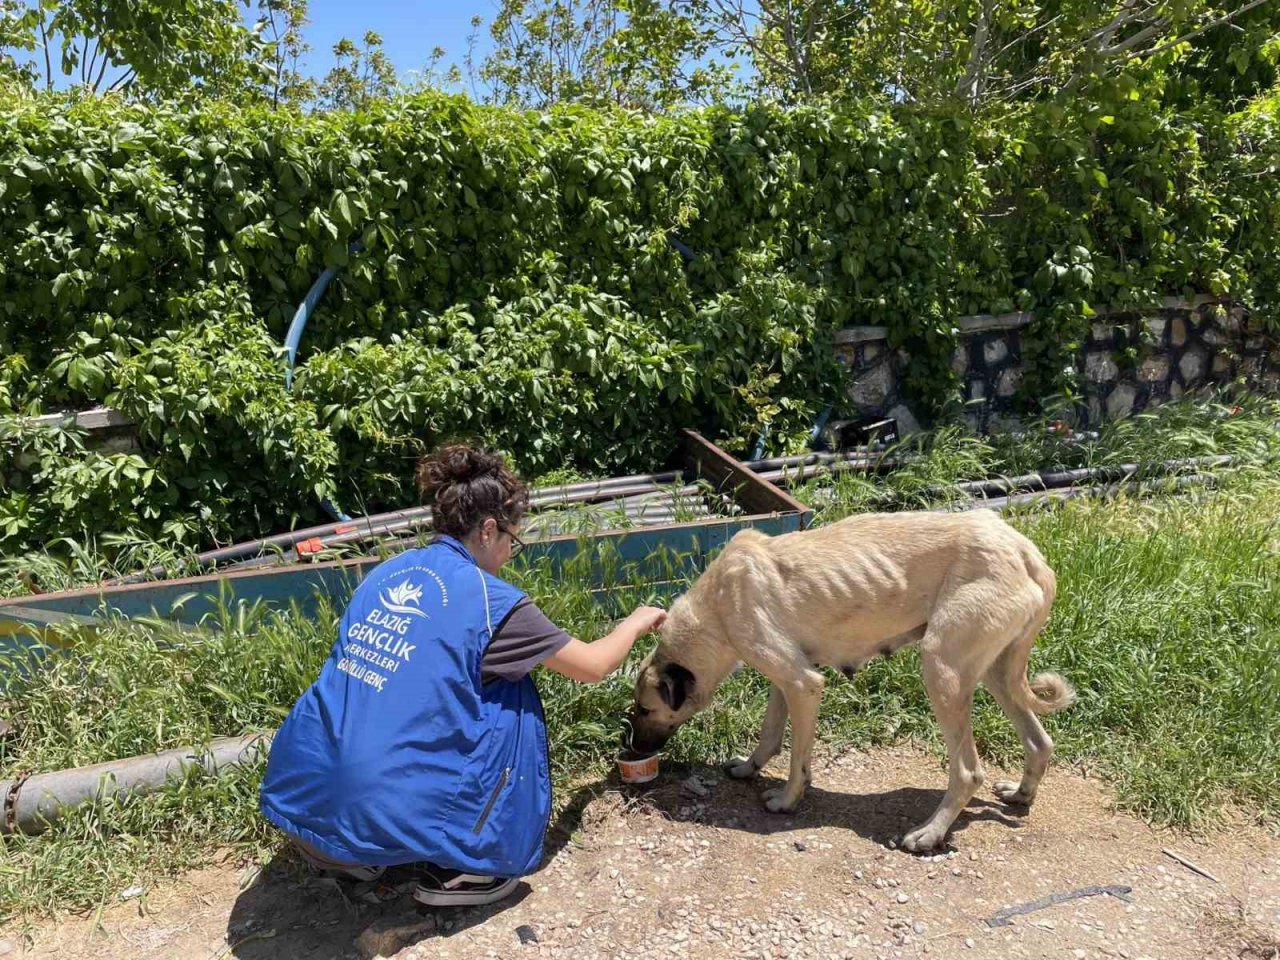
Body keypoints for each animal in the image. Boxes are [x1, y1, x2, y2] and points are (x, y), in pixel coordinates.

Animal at [624, 514, 1075, 855]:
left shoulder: (804, 684)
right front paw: (749, 768)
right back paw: (1021, 794)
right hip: (994, 673)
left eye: (646, 709)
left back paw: (930, 834)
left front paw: (787, 800)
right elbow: (769, 736)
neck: (716, 606)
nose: (633, 751)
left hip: (942, 670)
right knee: (1040, 742)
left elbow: (798, 760)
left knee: (967, 772)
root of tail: (1025, 551)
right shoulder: (784, 680)